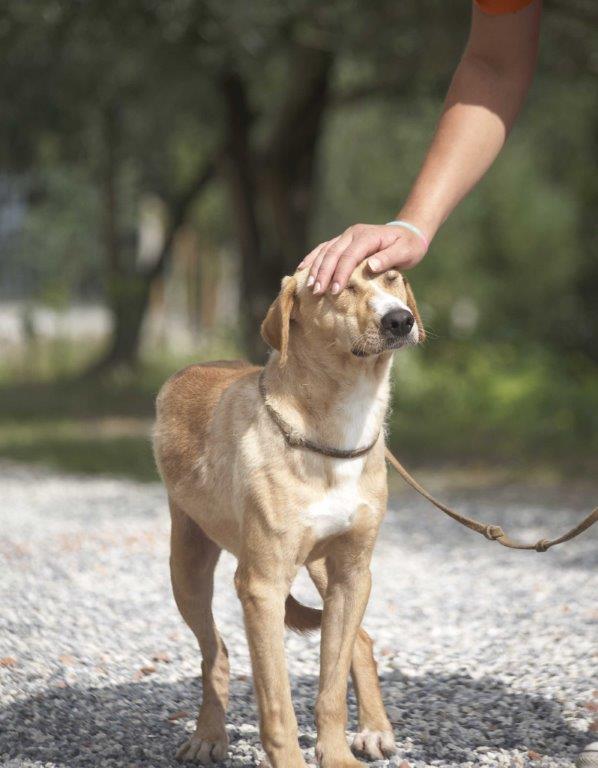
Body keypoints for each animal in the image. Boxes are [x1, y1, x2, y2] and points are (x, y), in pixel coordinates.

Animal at [155, 260, 426, 764]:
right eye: (338, 287)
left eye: (392, 277)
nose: (400, 320)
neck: (337, 431)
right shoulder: (261, 588)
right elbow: (277, 706)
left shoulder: (351, 574)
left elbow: (331, 691)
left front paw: (336, 755)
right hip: (187, 567)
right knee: (215, 653)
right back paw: (208, 735)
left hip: (326, 572)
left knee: (361, 641)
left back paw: (375, 728)